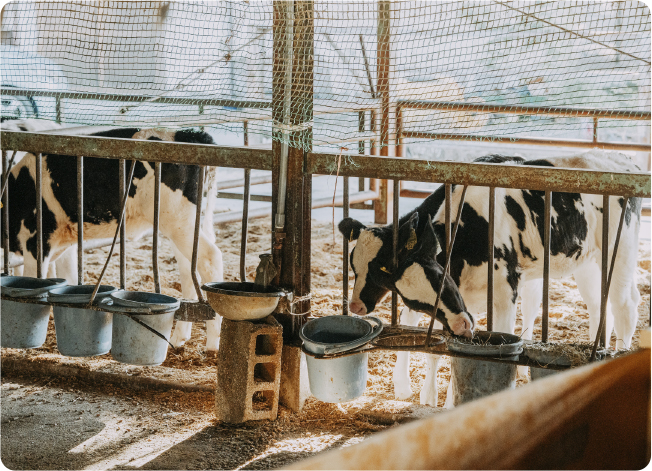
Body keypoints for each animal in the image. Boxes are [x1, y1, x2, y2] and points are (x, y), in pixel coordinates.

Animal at [3, 127, 224, 352]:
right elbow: (69, 279)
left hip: (178, 221)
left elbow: (32, 283)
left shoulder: (35, 239)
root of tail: (190, 133)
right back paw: (179, 338)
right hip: (183, 224)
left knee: (211, 258)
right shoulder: (65, 244)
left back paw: (212, 345)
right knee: (189, 271)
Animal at [342, 151, 640, 406]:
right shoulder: (460, 299)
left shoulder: (504, 289)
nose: (355, 305)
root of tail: (623, 160)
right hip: (587, 262)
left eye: (440, 278)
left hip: (621, 249)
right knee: (599, 307)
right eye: (416, 301)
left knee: (625, 307)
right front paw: (429, 395)